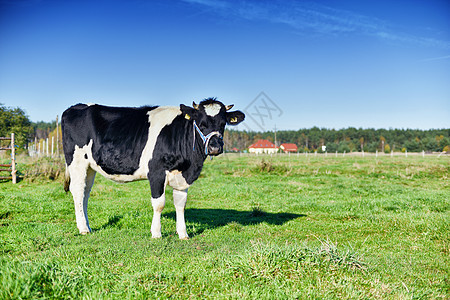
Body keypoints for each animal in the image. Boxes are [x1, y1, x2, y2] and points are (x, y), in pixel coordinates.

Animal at [61, 98, 244, 239]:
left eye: (223, 124)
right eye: (201, 123)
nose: (215, 147)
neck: (190, 165)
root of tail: (75, 107)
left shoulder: (182, 177)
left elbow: (180, 204)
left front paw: (183, 234)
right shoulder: (156, 172)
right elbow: (159, 204)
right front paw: (156, 233)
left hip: (90, 167)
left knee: (85, 193)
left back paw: (88, 226)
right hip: (77, 162)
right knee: (78, 191)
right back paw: (83, 229)